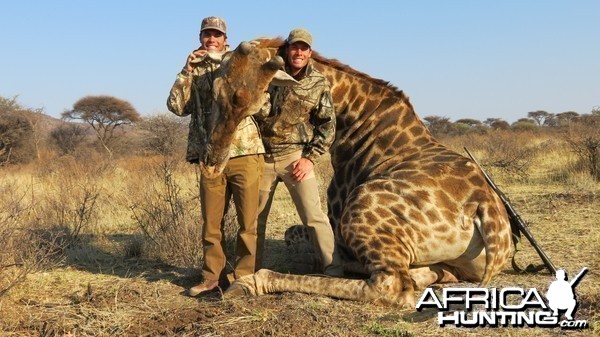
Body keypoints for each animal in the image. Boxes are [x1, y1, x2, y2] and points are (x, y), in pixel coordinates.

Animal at [203, 39, 510, 308]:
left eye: (256, 105)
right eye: (215, 91)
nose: (212, 162)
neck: (355, 116)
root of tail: (486, 210)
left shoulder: (335, 214)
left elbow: (301, 238)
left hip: (359, 209)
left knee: (392, 286)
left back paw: (249, 282)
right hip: (455, 264)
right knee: (428, 274)